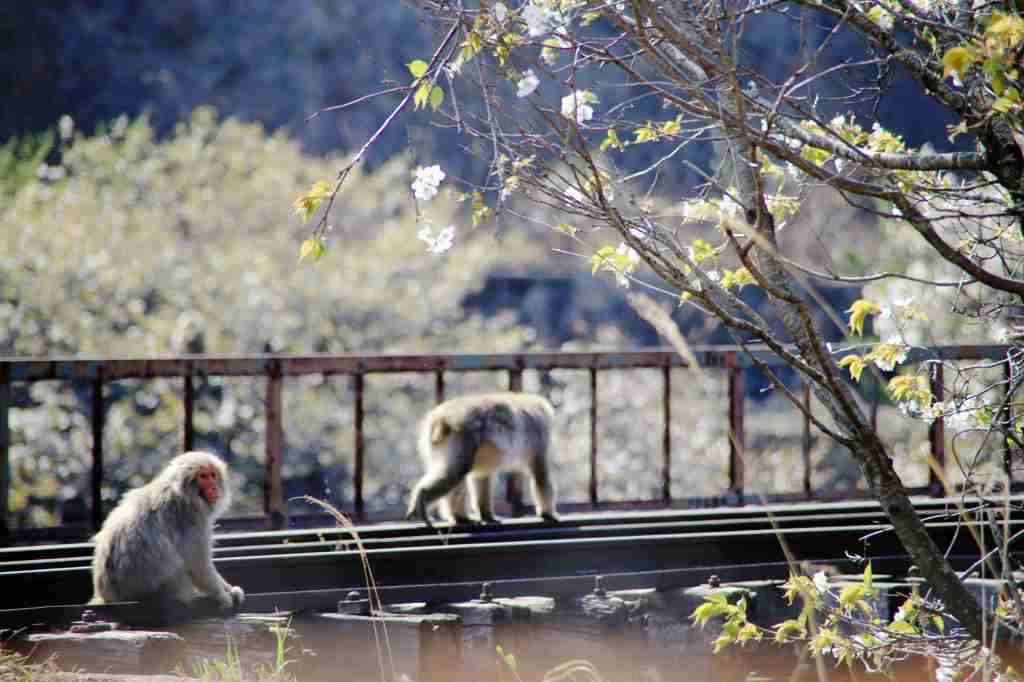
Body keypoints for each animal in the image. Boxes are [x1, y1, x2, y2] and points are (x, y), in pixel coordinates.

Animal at [90, 448, 245, 606]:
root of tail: (107, 596)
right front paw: (221, 594)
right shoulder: (191, 517)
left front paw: (229, 589)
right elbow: (196, 563)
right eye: (203, 476)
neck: (185, 494)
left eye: (213, 475)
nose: (213, 487)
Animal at [403, 391, 557, 522]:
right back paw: (423, 496)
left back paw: (460, 517)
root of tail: (442, 419)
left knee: (457, 472)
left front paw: (486, 514)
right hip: (464, 434)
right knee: (456, 472)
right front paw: (547, 513)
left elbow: (481, 475)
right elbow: (540, 475)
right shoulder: (539, 433)